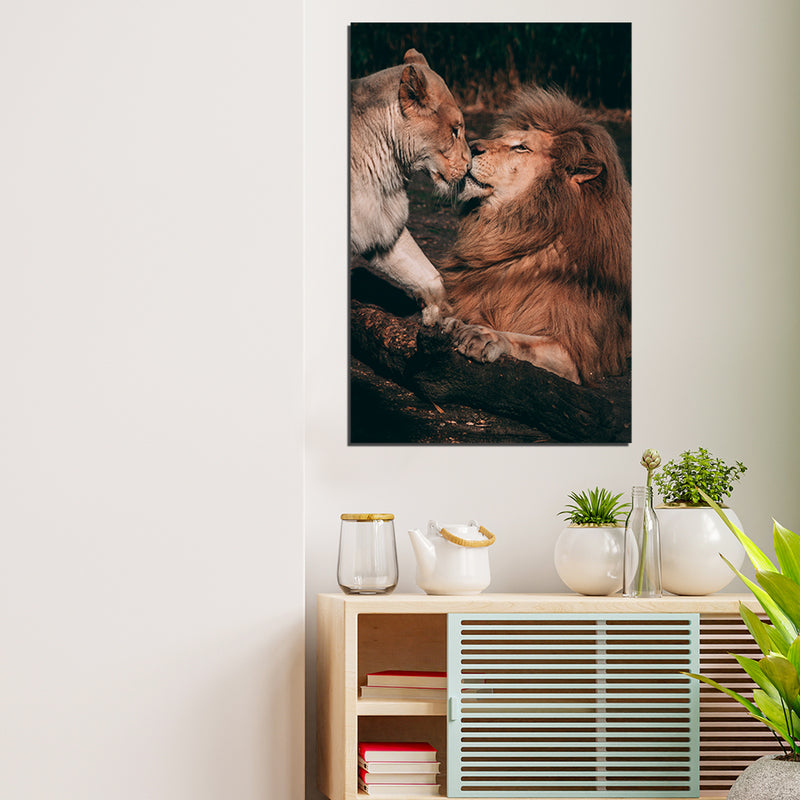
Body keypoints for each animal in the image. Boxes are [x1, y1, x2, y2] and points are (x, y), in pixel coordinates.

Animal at [440, 86, 631, 384]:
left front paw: (483, 335)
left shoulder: (578, 356)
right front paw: (456, 323)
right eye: (501, 137)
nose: (470, 146)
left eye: (521, 147)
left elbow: (523, 341)